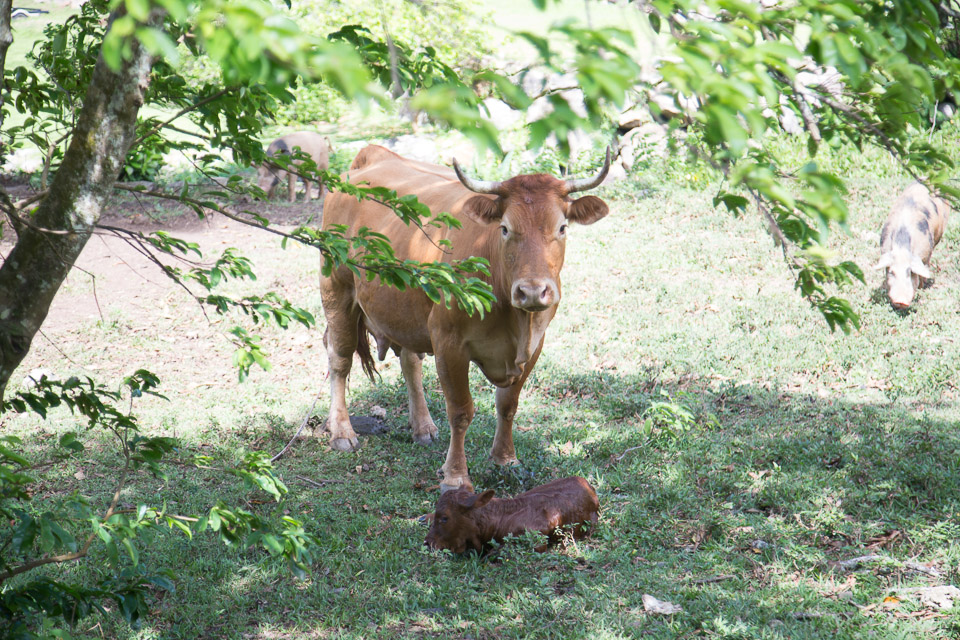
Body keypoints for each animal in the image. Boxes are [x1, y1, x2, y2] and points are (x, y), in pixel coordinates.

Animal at [322, 146, 608, 490]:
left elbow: (507, 405)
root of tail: (371, 157)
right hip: (336, 290)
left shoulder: (535, 345)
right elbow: (460, 412)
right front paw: (456, 476)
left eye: (562, 227)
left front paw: (505, 459)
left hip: (405, 313)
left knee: (409, 361)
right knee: (339, 359)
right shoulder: (449, 343)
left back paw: (423, 426)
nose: (532, 292)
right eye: (505, 228)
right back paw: (342, 431)